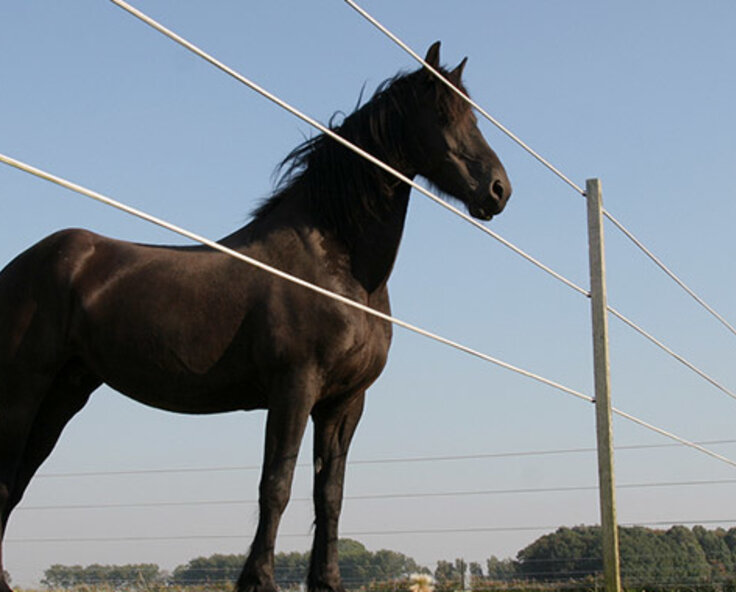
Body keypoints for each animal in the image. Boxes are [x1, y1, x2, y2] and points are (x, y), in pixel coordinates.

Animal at [0, 42, 511, 592]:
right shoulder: (293, 387)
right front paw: (259, 579)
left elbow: (329, 494)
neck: (337, 265)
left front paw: (326, 580)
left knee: (17, 480)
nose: (498, 190)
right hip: (23, 389)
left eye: (472, 114)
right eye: (442, 113)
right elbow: (277, 484)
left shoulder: (345, 402)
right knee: (6, 479)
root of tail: (22, 265)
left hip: (63, 395)